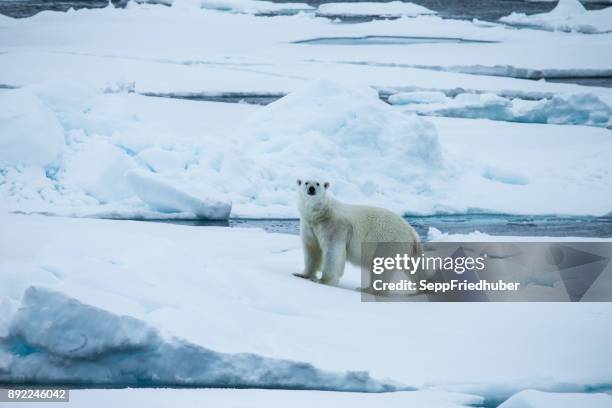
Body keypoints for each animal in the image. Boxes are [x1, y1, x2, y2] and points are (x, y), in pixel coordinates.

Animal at [292, 178, 420, 286]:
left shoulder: (336, 226)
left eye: (318, 183)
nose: (311, 189)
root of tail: (412, 233)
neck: (321, 213)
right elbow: (311, 248)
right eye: (306, 182)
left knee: (383, 265)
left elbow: (333, 251)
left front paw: (323, 280)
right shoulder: (309, 225)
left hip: (389, 241)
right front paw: (302, 274)